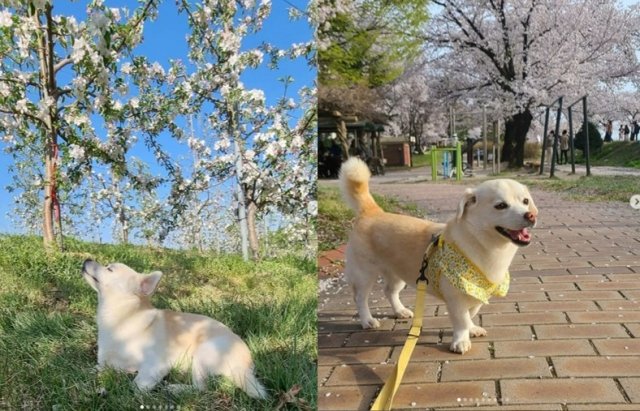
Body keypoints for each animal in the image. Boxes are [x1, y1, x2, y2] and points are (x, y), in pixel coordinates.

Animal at [81, 260, 266, 400]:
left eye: (109, 269)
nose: (87, 260)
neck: (123, 318)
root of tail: (247, 365)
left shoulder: (155, 366)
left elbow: (136, 385)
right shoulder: (104, 365)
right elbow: (93, 371)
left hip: (203, 352)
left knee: (201, 388)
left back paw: (175, 388)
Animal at [338, 158, 536, 354]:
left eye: (525, 201)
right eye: (501, 206)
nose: (531, 215)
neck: (490, 250)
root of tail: (372, 211)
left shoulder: (479, 291)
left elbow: (471, 313)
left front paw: (472, 328)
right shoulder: (455, 298)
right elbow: (461, 319)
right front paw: (461, 340)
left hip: (397, 273)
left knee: (389, 291)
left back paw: (400, 311)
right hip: (364, 274)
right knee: (360, 298)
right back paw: (367, 320)